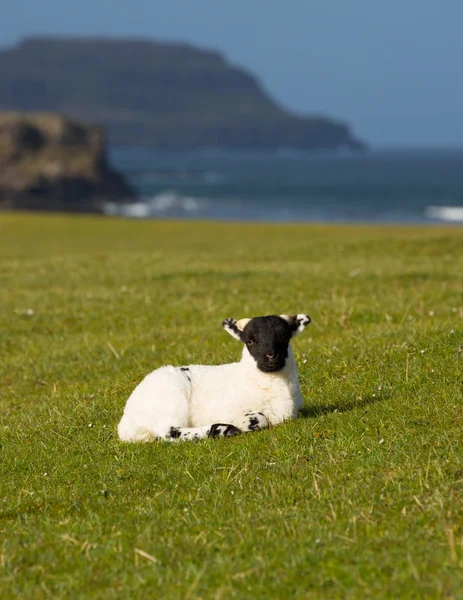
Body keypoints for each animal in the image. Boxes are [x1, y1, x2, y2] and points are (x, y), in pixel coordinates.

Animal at [117, 314, 312, 440]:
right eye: (249, 341)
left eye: (285, 337)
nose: (270, 356)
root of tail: (127, 421)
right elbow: (260, 418)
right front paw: (241, 424)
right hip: (170, 401)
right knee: (168, 432)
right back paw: (224, 430)